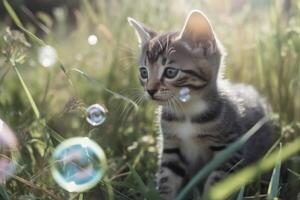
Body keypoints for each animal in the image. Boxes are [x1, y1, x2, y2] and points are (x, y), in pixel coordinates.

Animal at [127, 10, 274, 199]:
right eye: (144, 73)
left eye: (170, 72)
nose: (150, 90)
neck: (187, 111)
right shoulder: (171, 148)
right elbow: (167, 180)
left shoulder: (228, 150)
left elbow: (216, 184)